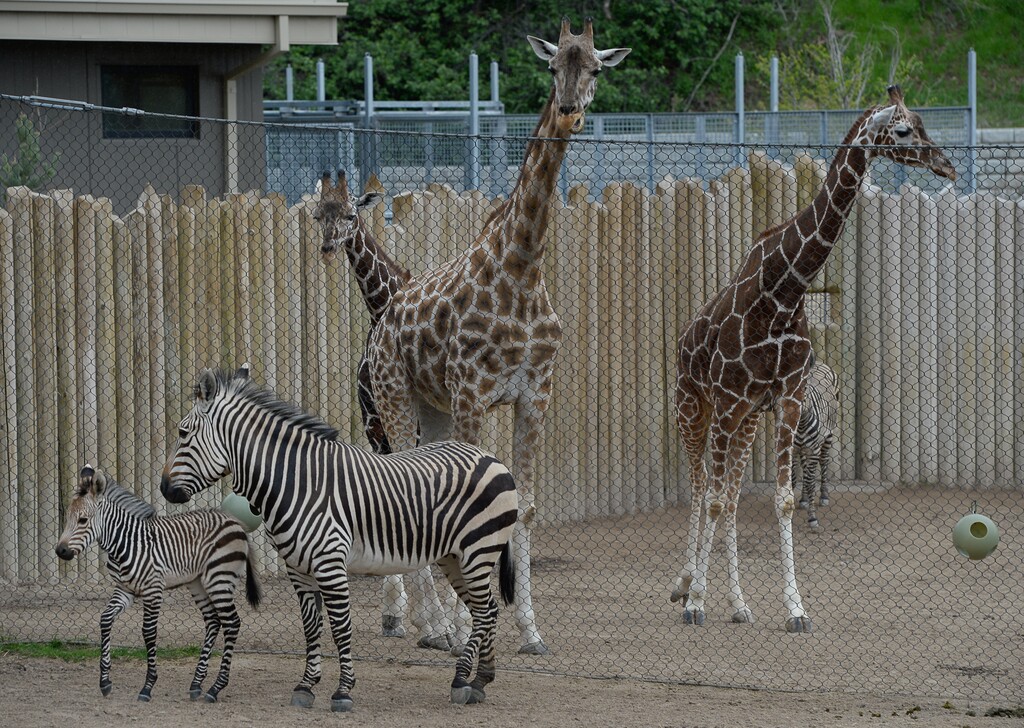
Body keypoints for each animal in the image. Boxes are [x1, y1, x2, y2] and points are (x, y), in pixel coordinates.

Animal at [55, 464, 262, 703]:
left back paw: (215, 688)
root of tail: (234, 522)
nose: (60, 551)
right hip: (198, 583)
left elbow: (148, 632)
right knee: (213, 621)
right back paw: (196, 684)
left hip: (219, 579)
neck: (125, 543)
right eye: (67, 518)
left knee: (232, 623)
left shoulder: (153, 590)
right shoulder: (124, 590)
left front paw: (147, 686)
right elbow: (105, 620)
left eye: (83, 521)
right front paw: (105, 681)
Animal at [160, 365, 518, 712]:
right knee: (487, 609)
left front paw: (343, 691)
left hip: (478, 551)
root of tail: (492, 457)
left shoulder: (330, 563)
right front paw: (306, 686)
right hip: (454, 557)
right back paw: (480, 681)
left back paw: (461, 680)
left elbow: (340, 627)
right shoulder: (297, 568)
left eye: (183, 433)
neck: (295, 481)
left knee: (485, 611)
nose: (164, 489)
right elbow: (311, 626)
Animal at [365, 17, 630, 655]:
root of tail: (381, 324)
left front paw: (530, 630)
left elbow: (526, 508)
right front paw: (469, 632)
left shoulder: (534, 395)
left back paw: (434, 623)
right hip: (396, 399)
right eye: (553, 65)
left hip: (431, 409)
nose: (569, 111)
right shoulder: (472, 395)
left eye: (595, 67)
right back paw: (436, 627)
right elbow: (467, 504)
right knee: (404, 486)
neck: (523, 269)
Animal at [793, 355, 840, 529]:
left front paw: (812, 518)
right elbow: (793, 478)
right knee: (804, 466)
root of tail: (819, 362)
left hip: (828, 435)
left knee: (824, 460)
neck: (800, 425)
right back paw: (804, 499)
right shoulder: (791, 449)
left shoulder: (813, 450)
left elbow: (810, 481)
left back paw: (823, 496)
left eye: (804, 388)